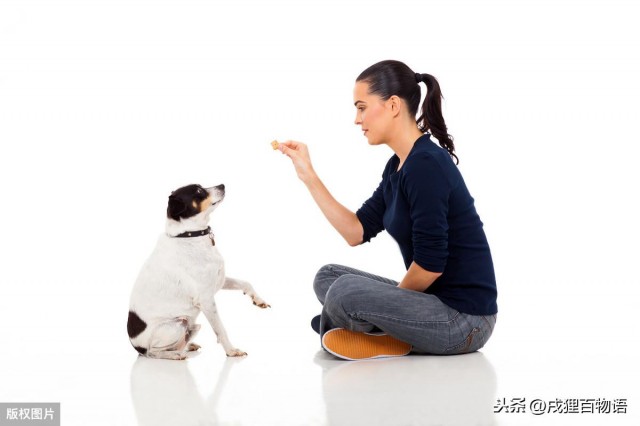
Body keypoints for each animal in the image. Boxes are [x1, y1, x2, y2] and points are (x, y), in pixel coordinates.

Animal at [127, 183, 270, 360]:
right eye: (198, 191)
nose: (222, 185)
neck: (189, 236)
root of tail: (136, 347)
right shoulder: (206, 300)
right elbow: (220, 329)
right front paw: (231, 351)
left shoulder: (219, 281)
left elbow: (245, 283)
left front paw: (258, 300)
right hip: (178, 323)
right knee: (152, 352)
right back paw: (175, 355)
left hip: (192, 325)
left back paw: (187, 347)